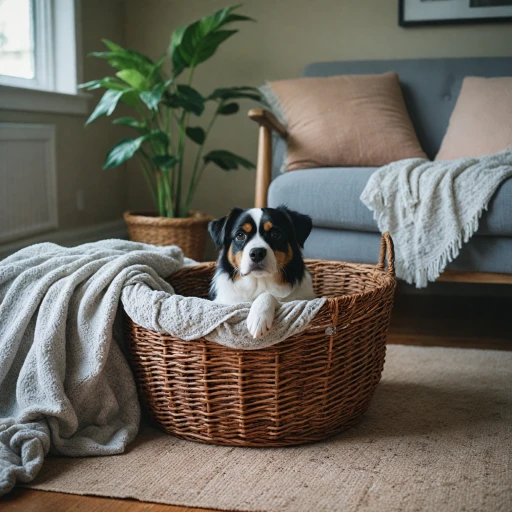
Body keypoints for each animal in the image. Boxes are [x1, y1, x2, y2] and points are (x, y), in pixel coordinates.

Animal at [209, 204, 316, 340]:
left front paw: (258, 318)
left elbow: (268, 295)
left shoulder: (300, 299)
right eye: (240, 235)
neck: (259, 282)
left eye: (276, 234)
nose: (257, 253)